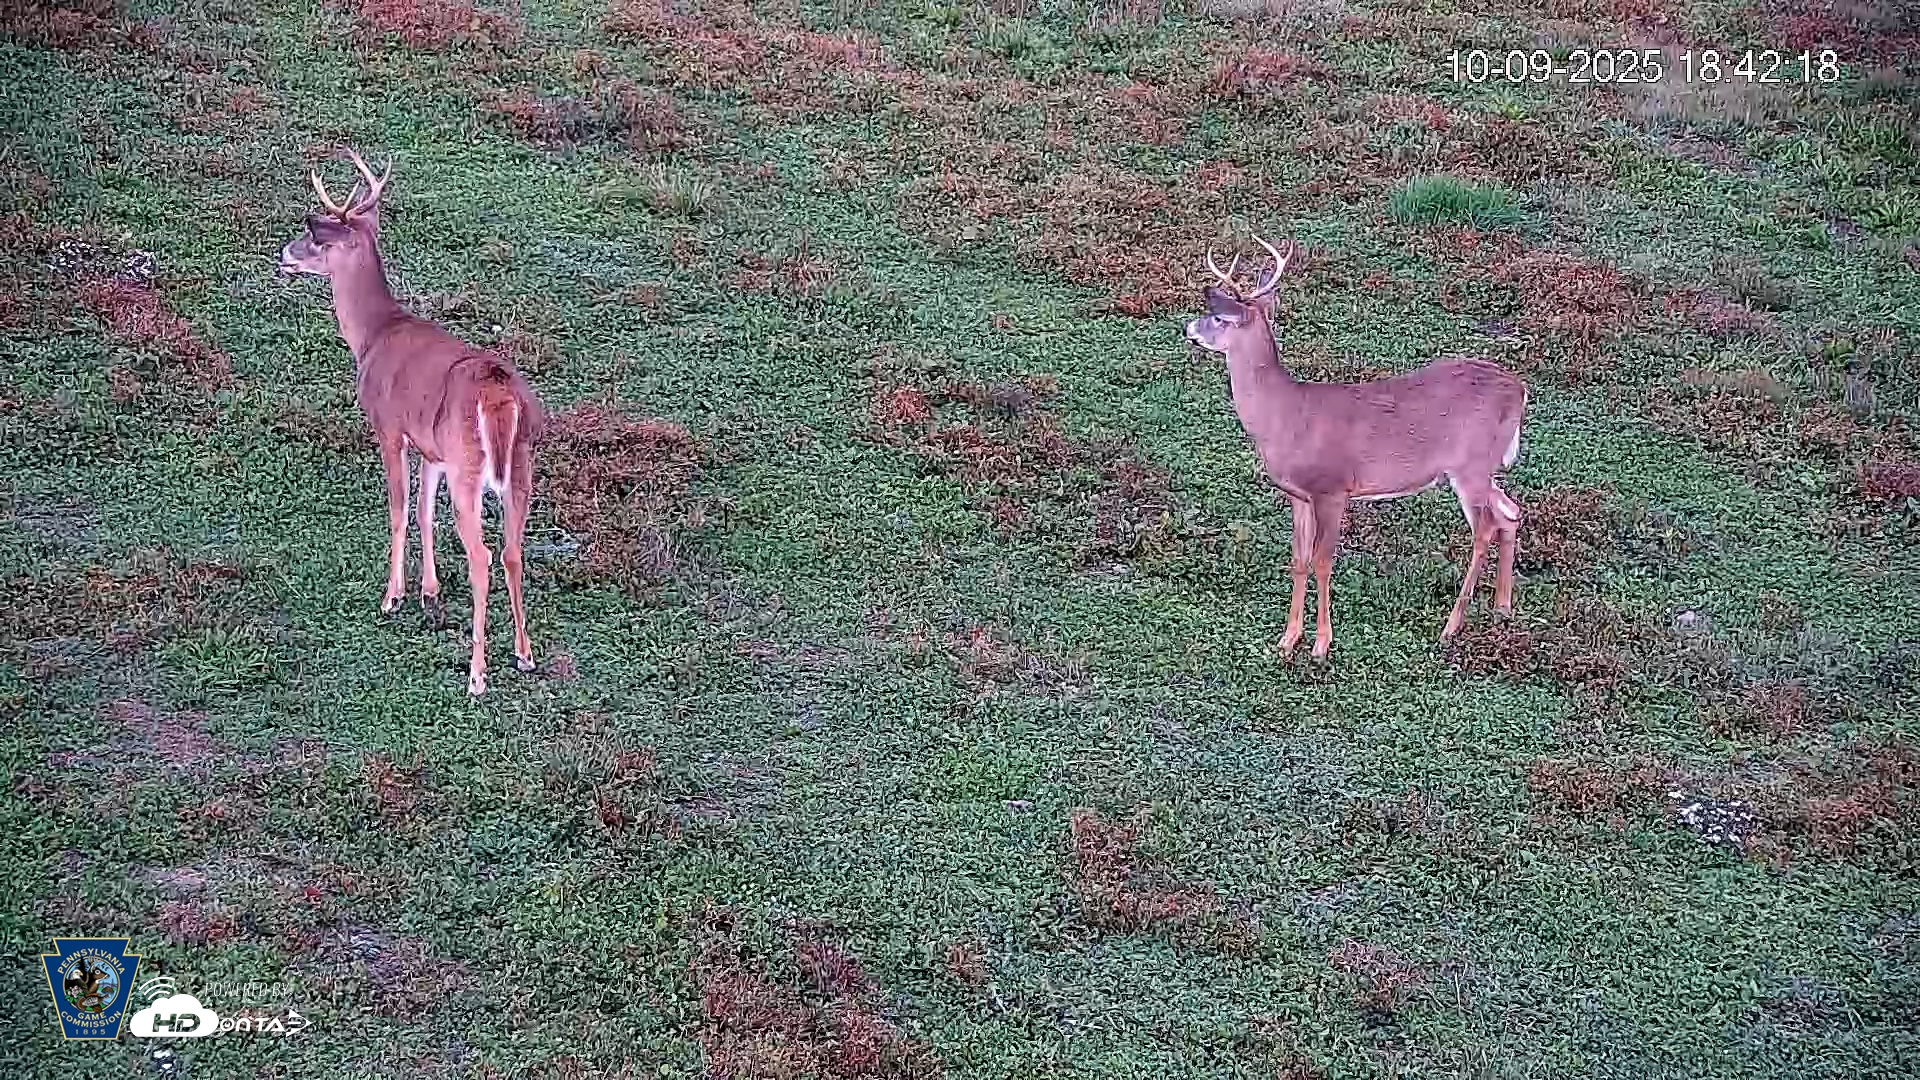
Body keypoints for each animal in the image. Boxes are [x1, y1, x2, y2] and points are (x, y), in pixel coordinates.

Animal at [278, 150, 546, 696]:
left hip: (470, 467)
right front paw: (428, 591)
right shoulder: (431, 448)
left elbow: (400, 509)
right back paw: (525, 654)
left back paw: (477, 674)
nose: (282, 254)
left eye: (316, 238)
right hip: (521, 465)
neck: (373, 335)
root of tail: (501, 395)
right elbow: (425, 512)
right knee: (513, 550)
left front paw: (393, 596)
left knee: (483, 558)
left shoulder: (389, 428)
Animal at [1183, 236, 1528, 661]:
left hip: (1471, 464)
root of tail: (1520, 390)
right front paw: (1287, 640)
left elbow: (1323, 561)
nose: (1188, 328)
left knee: (1485, 528)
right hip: (1482, 467)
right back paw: (1502, 609)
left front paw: (1321, 644)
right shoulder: (1299, 494)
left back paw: (1451, 627)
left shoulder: (1333, 489)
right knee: (1511, 512)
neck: (1286, 416)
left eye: (1218, 317)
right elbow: (1299, 559)